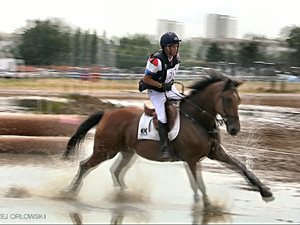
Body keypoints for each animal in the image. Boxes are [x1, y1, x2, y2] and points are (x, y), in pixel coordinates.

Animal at [62, 69, 274, 207]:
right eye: (228, 99)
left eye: (239, 100)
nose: (234, 129)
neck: (198, 120)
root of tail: (106, 114)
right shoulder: (191, 159)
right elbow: (199, 186)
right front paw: (206, 205)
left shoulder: (215, 153)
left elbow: (241, 167)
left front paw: (266, 192)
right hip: (105, 150)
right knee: (85, 166)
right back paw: (69, 192)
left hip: (127, 152)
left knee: (116, 171)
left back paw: (125, 195)